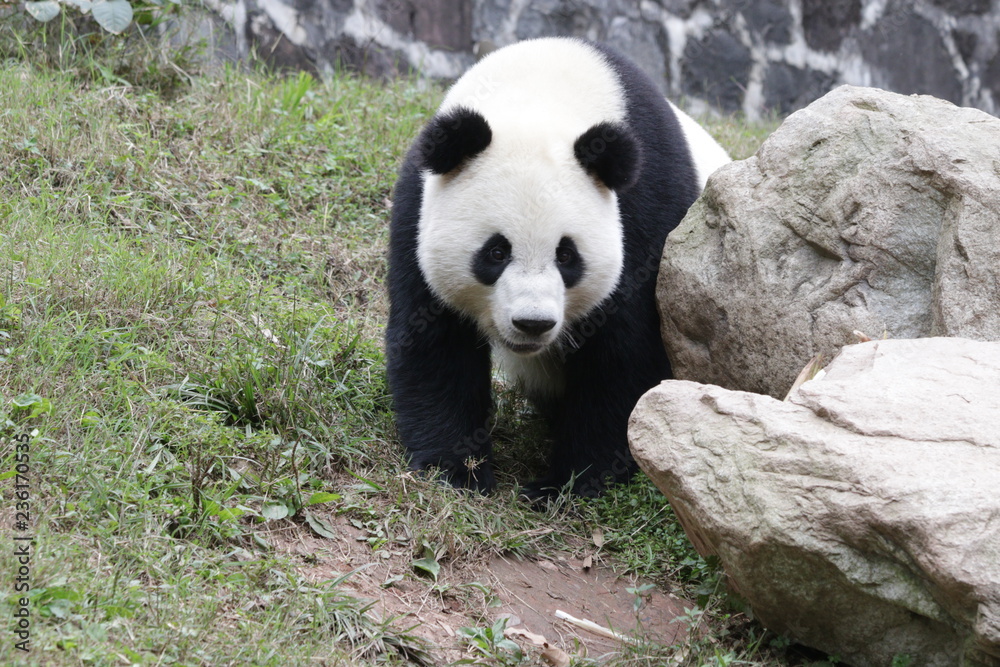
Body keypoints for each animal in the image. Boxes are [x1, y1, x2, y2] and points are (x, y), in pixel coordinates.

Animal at [386, 37, 730, 497]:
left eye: (566, 255)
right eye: (496, 252)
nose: (532, 323)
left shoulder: (647, 206)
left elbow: (625, 353)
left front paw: (567, 483)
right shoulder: (419, 205)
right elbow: (435, 338)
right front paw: (457, 470)